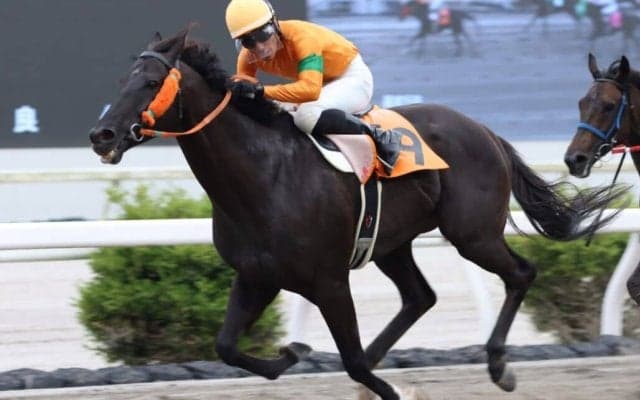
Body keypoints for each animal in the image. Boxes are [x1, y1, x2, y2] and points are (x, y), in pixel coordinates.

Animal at [89, 28, 626, 400]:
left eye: (152, 82)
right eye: (121, 82)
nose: (103, 135)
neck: (264, 176)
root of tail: (482, 128)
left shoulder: (328, 280)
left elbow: (349, 360)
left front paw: (391, 387)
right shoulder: (257, 275)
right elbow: (228, 347)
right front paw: (293, 351)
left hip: (472, 233)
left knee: (521, 273)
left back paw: (498, 365)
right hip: (392, 242)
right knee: (420, 296)